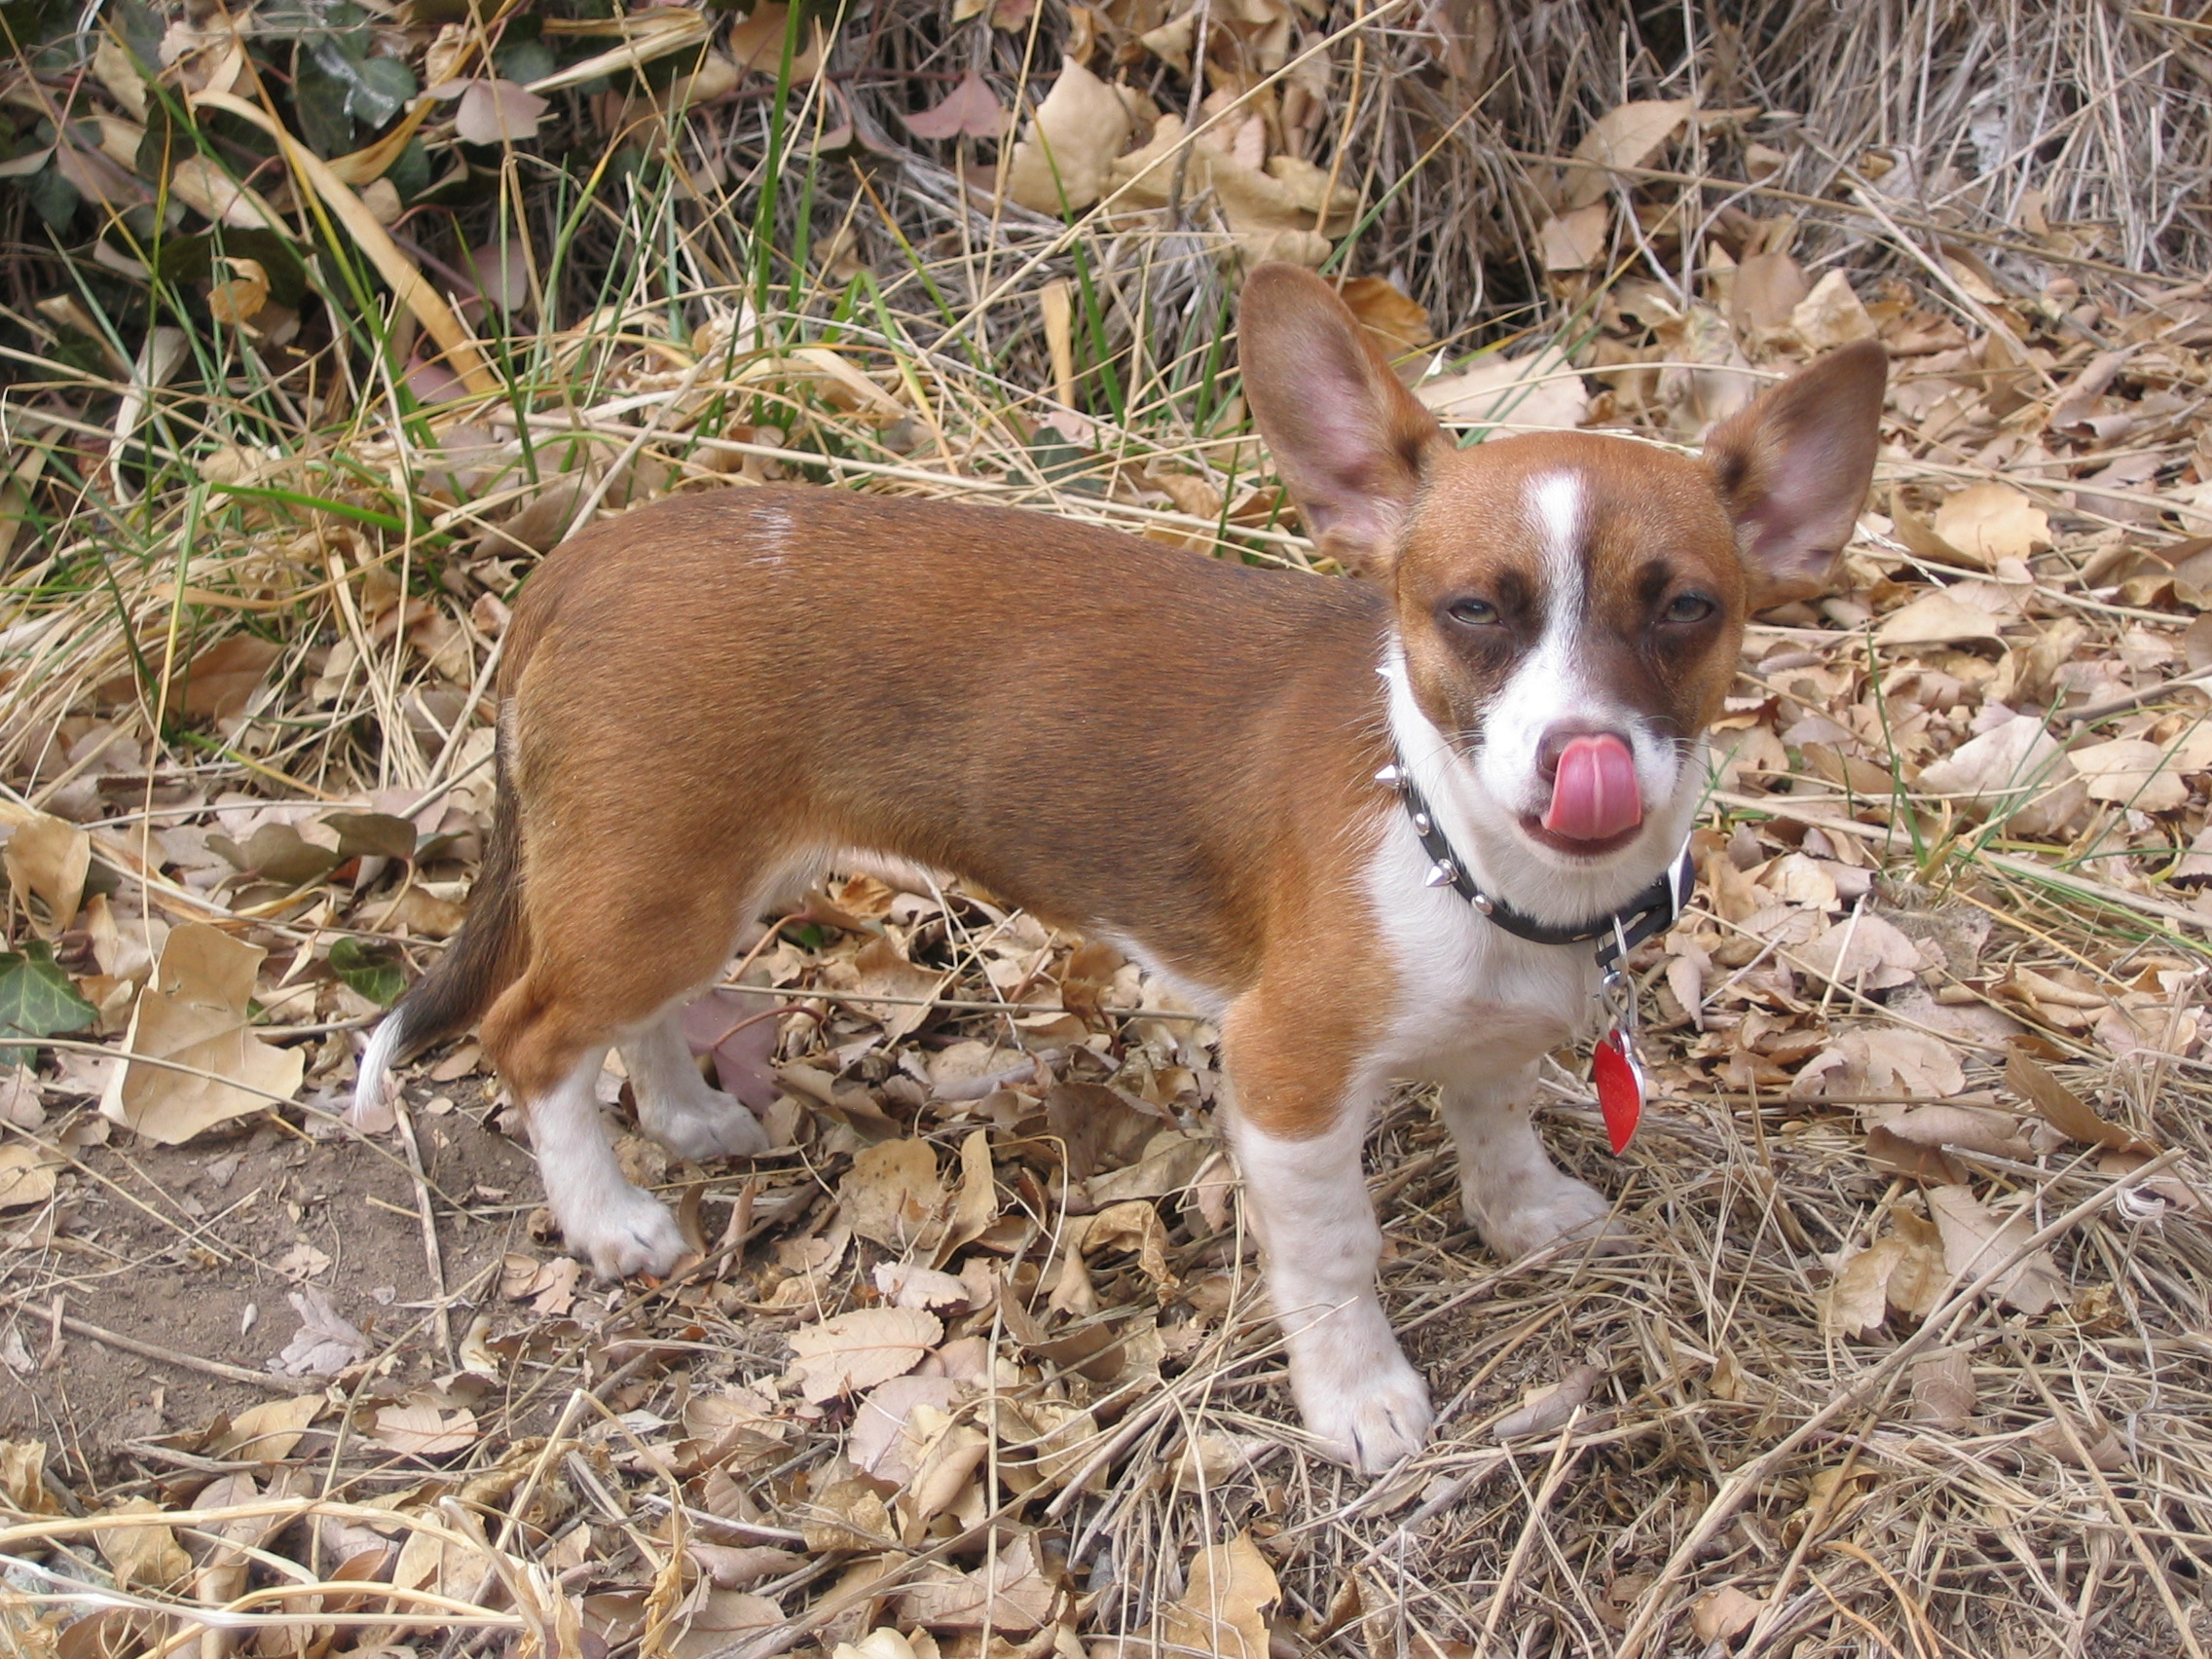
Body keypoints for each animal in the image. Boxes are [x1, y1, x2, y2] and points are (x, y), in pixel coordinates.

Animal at [362, 266, 1884, 1477]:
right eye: (1471, 611)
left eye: (1687, 608)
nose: (1588, 760)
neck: (1469, 861)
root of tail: (591, 557)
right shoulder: (1285, 1080)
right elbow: (1336, 1259)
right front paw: (1362, 1400)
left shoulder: (1499, 1035)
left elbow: (1495, 1120)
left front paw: (1523, 1216)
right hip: (658, 888)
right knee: (533, 1034)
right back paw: (609, 1218)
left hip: (687, 886)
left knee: (631, 1017)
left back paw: (683, 1120)